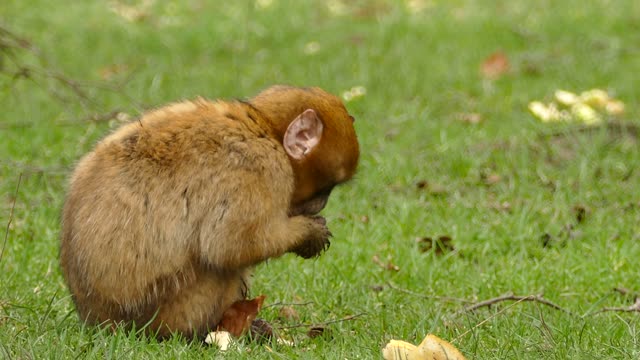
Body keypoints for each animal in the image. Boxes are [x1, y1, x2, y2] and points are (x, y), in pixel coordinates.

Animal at [58, 86, 360, 338]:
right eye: (327, 188)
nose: (322, 204)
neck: (263, 127)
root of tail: (98, 320)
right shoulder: (260, 168)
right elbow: (231, 246)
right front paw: (310, 233)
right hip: (171, 311)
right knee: (218, 266)